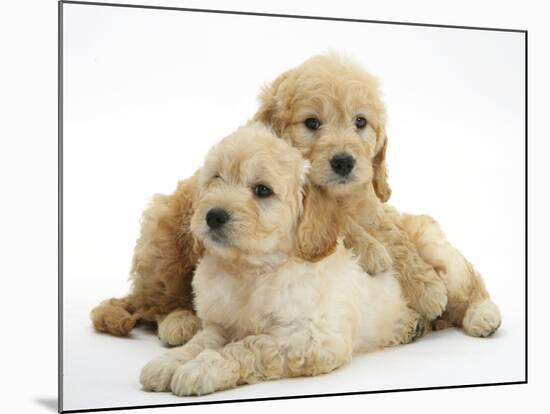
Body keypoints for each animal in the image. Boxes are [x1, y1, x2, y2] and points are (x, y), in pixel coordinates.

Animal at [139, 122, 422, 394]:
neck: (251, 270)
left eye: (262, 190)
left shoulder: (312, 338)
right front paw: (169, 362)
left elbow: (250, 346)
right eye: (216, 178)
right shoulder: (220, 324)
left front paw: (203, 368)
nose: (214, 216)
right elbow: (199, 342)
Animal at [254, 53, 504, 334]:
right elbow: (338, 220)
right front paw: (373, 251)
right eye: (311, 122)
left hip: (439, 250)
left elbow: (396, 239)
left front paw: (428, 288)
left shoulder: (377, 210)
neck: (340, 195)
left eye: (360, 121)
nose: (343, 162)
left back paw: (482, 314)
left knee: (469, 281)